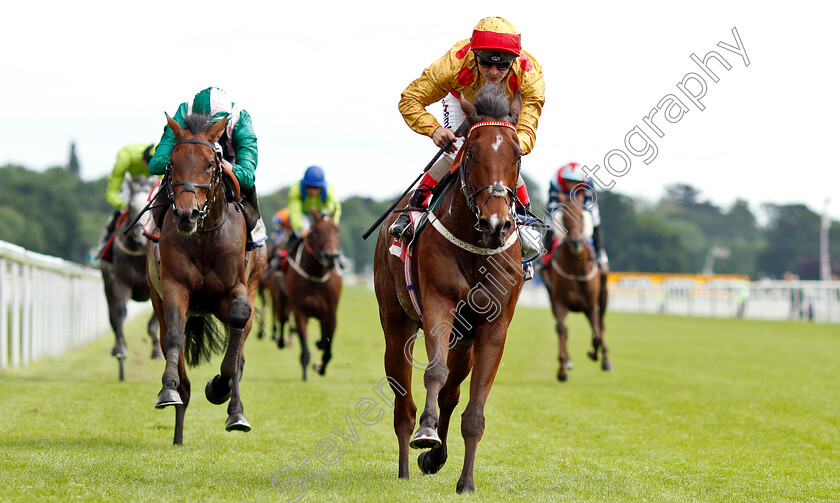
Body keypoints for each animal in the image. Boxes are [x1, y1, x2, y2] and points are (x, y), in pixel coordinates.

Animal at [101, 175, 163, 380]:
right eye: (131, 206)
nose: (141, 237)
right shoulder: (120, 284)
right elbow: (119, 314)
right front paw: (121, 351)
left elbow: (154, 320)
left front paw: (157, 350)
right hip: (108, 284)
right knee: (114, 316)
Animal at [146, 113, 268, 444]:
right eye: (171, 163)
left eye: (211, 164)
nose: (186, 214)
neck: (203, 237)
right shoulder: (174, 287)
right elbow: (175, 337)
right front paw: (168, 390)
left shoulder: (235, 290)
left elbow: (237, 329)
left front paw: (218, 388)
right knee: (173, 348)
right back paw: (178, 429)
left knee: (239, 350)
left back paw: (236, 411)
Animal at [276, 210, 342, 382]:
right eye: (317, 231)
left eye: (336, 229)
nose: (331, 256)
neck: (316, 276)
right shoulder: (300, 312)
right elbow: (305, 350)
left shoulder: (331, 314)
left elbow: (328, 349)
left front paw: (320, 367)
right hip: (282, 297)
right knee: (282, 318)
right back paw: (281, 340)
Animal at [374, 86, 524, 496]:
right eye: (471, 152)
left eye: (517, 155)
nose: (496, 223)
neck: (475, 246)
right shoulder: (438, 304)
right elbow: (434, 373)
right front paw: (427, 434)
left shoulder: (493, 328)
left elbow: (472, 410)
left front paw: (466, 482)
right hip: (397, 326)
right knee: (404, 405)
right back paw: (408, 464)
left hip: (465, 340)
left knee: (452, 394)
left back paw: (435, 458)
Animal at [540, 191, 608, 380]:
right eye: (564, 217)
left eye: (581, 216)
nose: (575, 242)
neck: (576, 269)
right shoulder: (558, 301)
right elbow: (561, 329)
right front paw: (563, 367)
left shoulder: (591, 304)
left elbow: (597, 334)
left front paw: (594, 353)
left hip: (603, 296)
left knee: (601, 326)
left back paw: (605, 360)